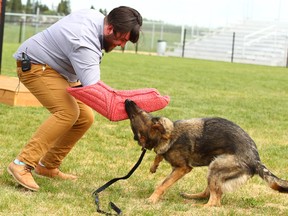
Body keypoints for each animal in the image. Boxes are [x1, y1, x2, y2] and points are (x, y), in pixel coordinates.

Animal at [125, 98, 288, 207]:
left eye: (136, 114)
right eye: (144, 111)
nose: (127, 99)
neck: (167, 136)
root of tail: (256, 160)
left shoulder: (182, 168)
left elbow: (163, 184)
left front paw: (152, 199)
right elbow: (158, 155)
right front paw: (154, 166)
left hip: (216, 167)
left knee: (215, 201)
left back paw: (199, 206)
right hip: (213, 168)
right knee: (210, 193)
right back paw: (190, 197)